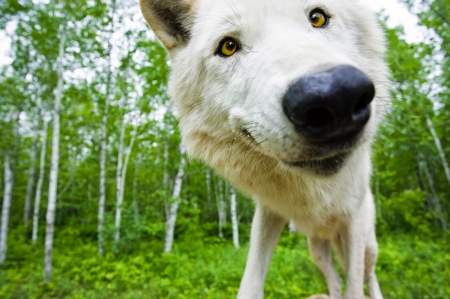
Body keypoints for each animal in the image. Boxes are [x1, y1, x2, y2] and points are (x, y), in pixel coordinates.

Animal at [142, 1, 390, 298]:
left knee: (368, 276)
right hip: (316, 248)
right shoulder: (268, 213)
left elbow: (355, 287)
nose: (335, 97)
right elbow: (250, 280)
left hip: (367, 246)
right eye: (228, 46)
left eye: (318, 17)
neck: (312, 194)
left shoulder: (352, 220)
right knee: (334, 279)